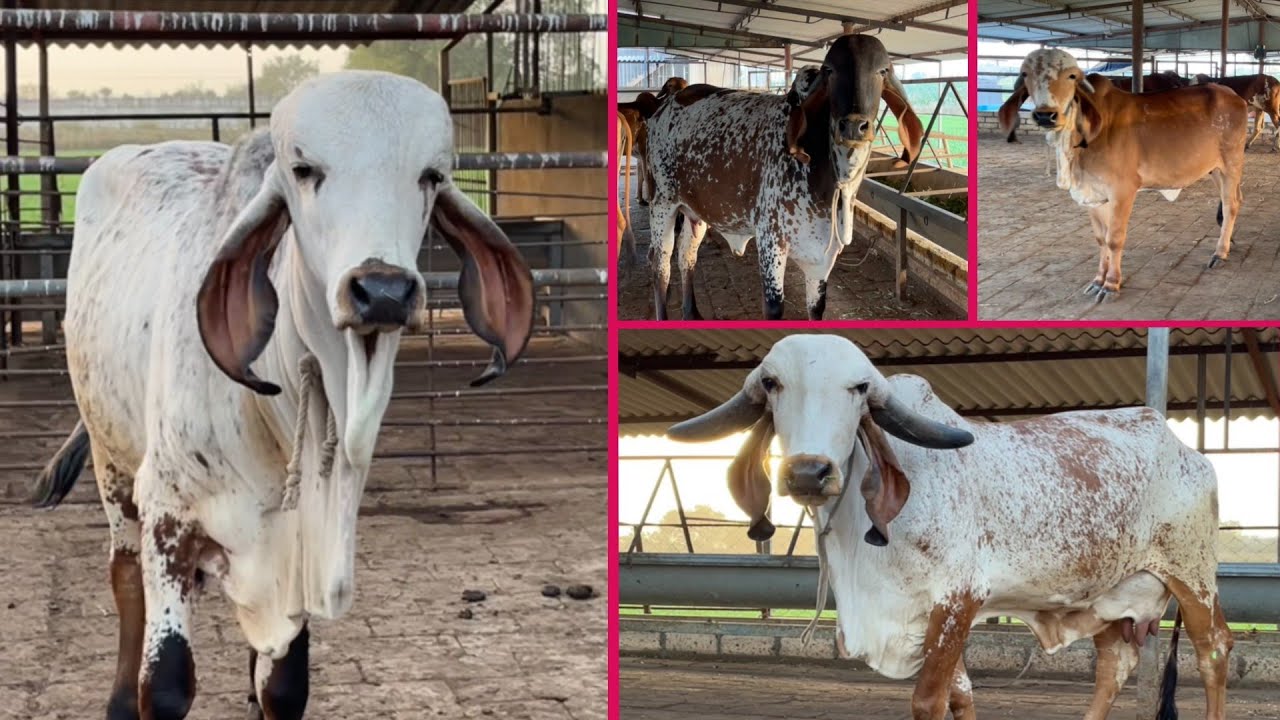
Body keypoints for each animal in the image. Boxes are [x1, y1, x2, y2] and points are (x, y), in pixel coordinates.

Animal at [29, 71, 535, 720]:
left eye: (431, 176)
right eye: (303, 170)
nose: (382, 290)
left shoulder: (298, 548)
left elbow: (286, 684)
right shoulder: (167, 511)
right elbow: (164, 683)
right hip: (110, 459)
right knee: (122, 572)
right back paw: (117, 698)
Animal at [644, 35, 923, 320]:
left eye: (882, 70)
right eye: (830, 71)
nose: (854, 125)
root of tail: (666, 105)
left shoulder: (822, 255)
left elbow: (816, 308)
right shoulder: (770, 239)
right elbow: (774, 307)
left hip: (695, 212)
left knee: (686, 255)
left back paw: (692, 313)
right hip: (662, 203)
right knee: (660, 265)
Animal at [666, 334, 1229, 720]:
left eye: (859, 388)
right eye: (772, 383)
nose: (809, 472)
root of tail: (1188, 453)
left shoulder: (957, 601)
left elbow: (929, 700)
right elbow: (961, 696)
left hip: (1193, 576)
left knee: (1214, 650)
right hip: (1109, 596)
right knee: (1114, 666)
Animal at [998, 49, 1248, 301]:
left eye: (1071, 76)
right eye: (1025, 74)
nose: (1045, 115)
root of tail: (1233, 96)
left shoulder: (1122, 191)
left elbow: (1114, 239)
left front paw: (1111, 284)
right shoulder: (1092, 195)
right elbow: (1101, 240)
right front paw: (1098, 280)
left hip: (1231, 163)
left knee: (1231, 204)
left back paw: (1220, 253)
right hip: (1214, 169)